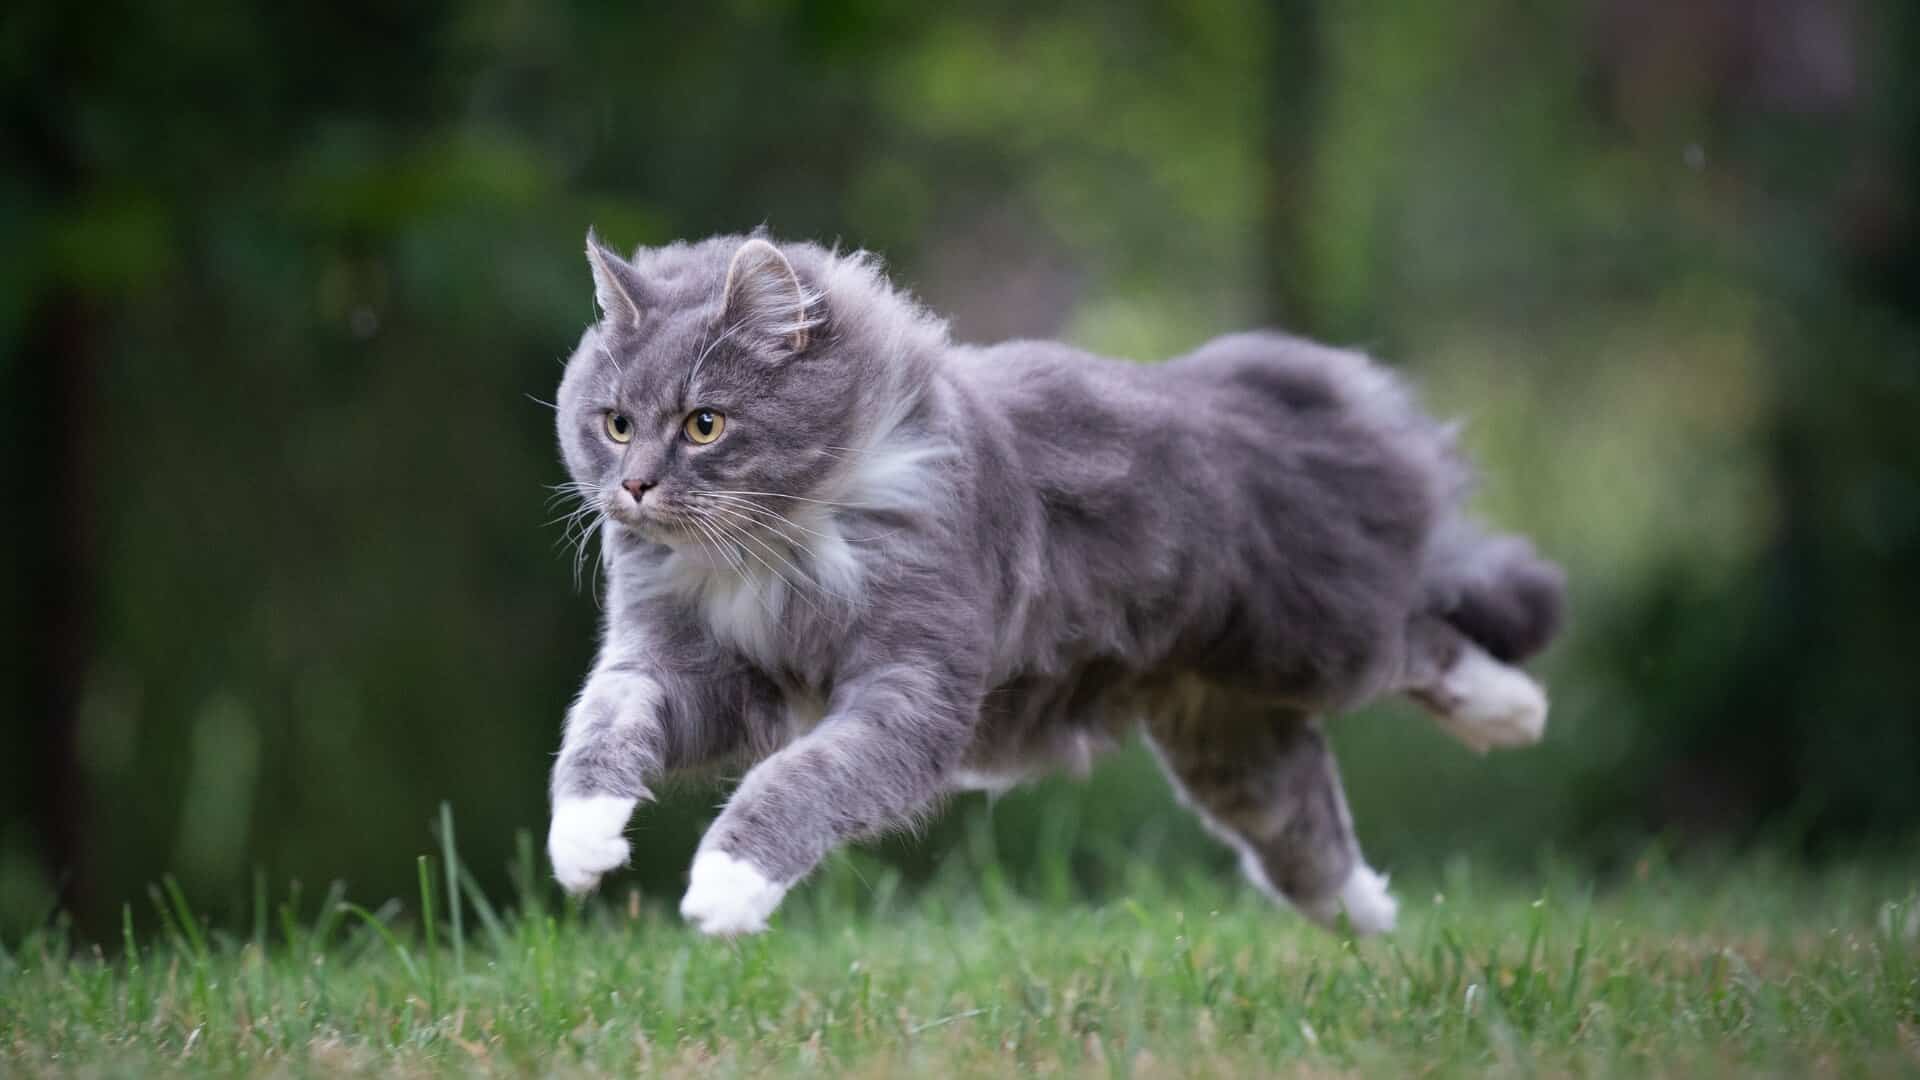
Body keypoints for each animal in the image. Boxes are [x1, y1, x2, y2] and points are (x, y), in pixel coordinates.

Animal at [549, 228, 1566, 933]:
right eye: (614, 422)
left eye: (705, 424)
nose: (634, 486)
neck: (771, 554)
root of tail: (1253, 382)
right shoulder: (693, 668)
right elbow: (601, 728)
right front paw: (583, 845)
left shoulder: (910, 690)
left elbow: (799, 781)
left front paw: (722, 890)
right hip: (1230, 730)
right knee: (1302, 828)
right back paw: (1373, 921)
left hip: (1313, 637)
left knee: (1421, 635)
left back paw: (1512, 713)